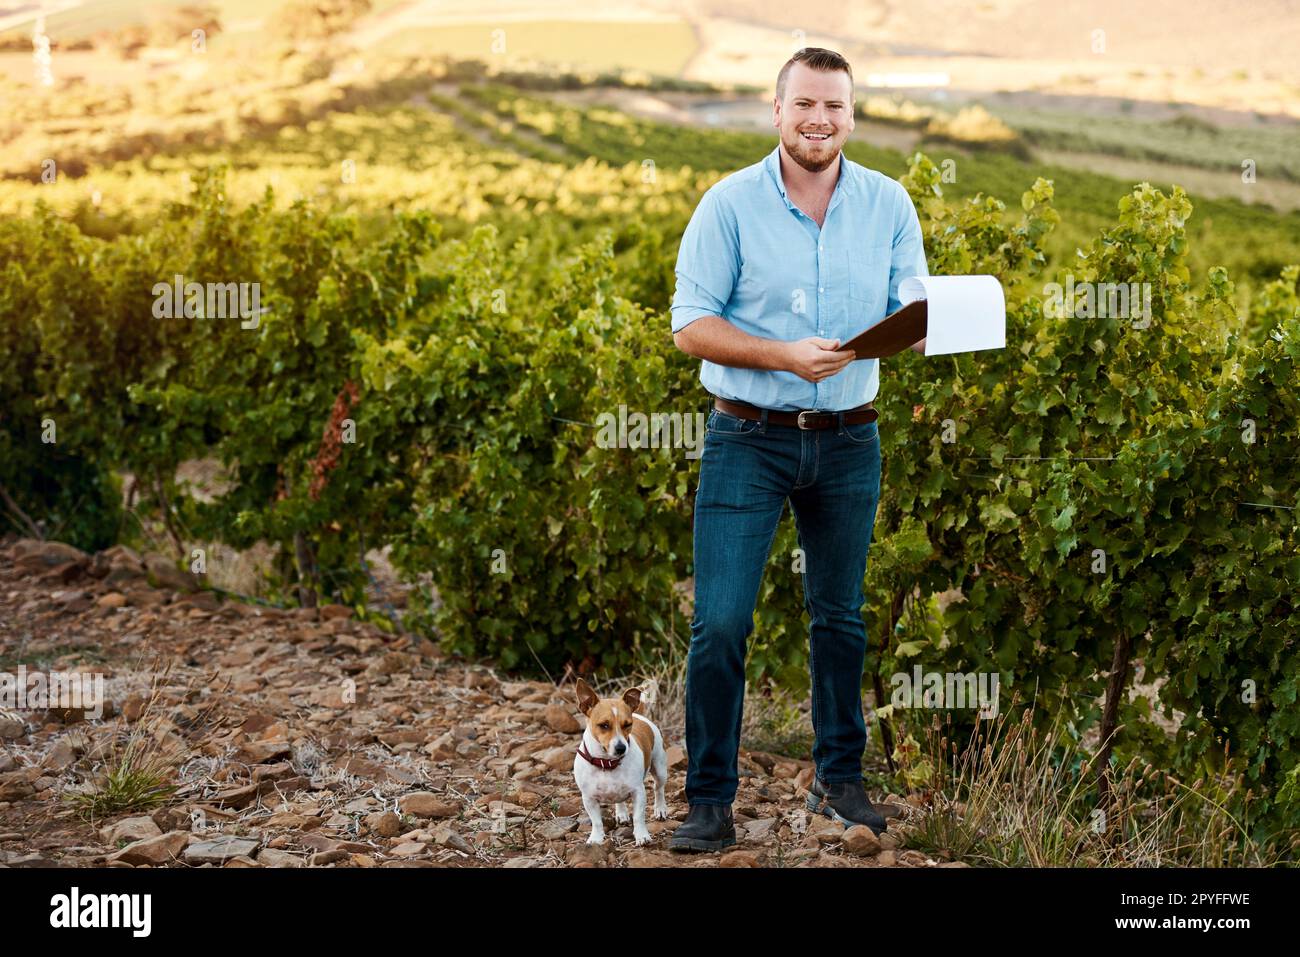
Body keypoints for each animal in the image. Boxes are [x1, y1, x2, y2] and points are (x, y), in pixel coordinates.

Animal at [572, 681, 665, 842]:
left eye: (627, 724)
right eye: (604, 725)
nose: (621, 748)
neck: (607, 763)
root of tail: (640, 715)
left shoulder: (638, 792)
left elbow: (639, 817)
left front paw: (642, 836)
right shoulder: (589, 798)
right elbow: (596, 821)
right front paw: (596, 838)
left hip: (659, 770)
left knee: (658, 789)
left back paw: (660, 809)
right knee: (619, 799)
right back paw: (621, 813)